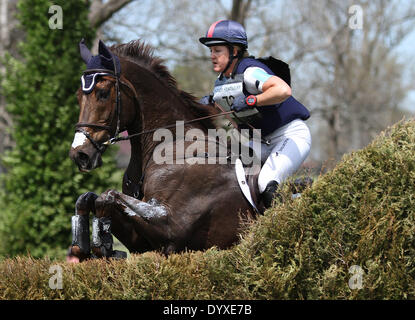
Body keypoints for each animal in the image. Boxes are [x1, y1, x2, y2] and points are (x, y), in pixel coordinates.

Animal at [69, 40, 264, 260]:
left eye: (102, 94)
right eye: (78, 96)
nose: (80, 155)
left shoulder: (172, 230)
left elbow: (107, 196)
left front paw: (101, 245)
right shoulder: (140, 241)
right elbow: (88, 198)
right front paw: (82, 246)